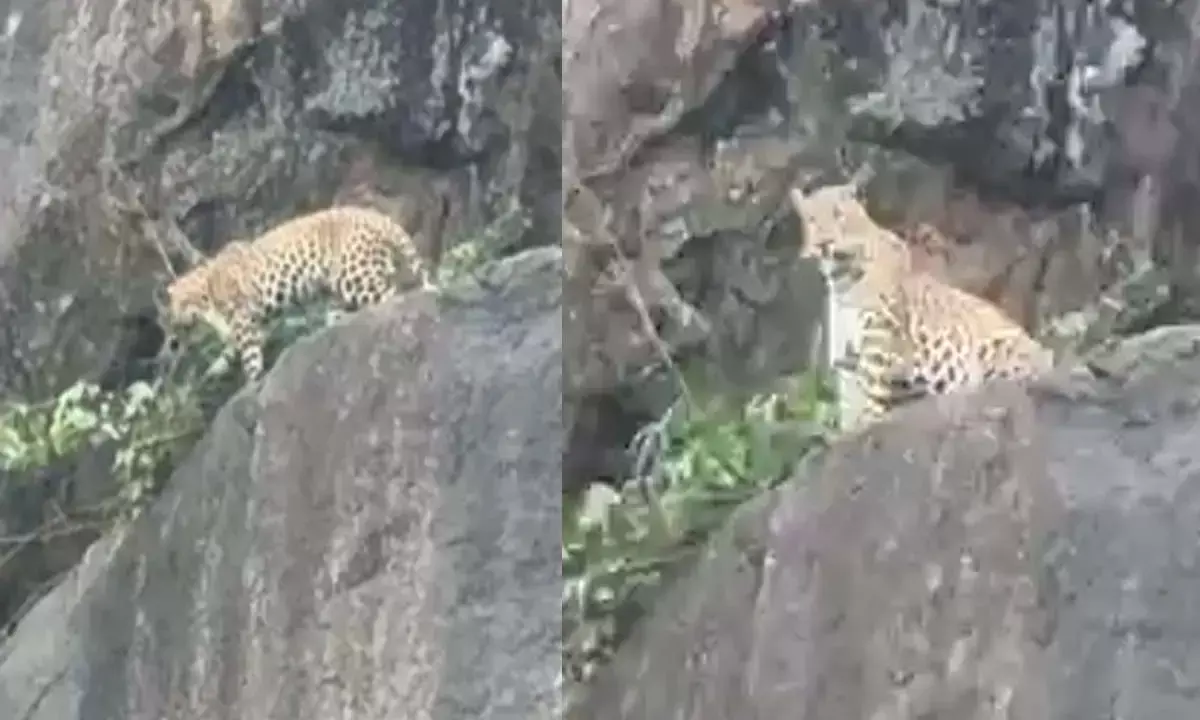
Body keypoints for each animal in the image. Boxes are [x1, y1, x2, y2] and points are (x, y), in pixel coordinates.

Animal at [160, 205, 435, 380]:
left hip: (355, 276)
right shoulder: (257, 320)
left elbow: (249, 352)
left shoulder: (242, 319)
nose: (173, 331)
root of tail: (379, 217)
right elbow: (235, 349)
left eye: (178, 306)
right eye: (172, 309)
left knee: (393, 294)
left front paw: (252, 379)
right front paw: (215, 369)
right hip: (340, 286)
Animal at [788, 182, 1054, 432]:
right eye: (811, 219)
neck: (841, 278)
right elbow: (852, 396)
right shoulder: (846, 355)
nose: (824, 243)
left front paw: (867, 421)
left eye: (838, 214)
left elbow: (871, 389)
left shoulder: (879, 340)